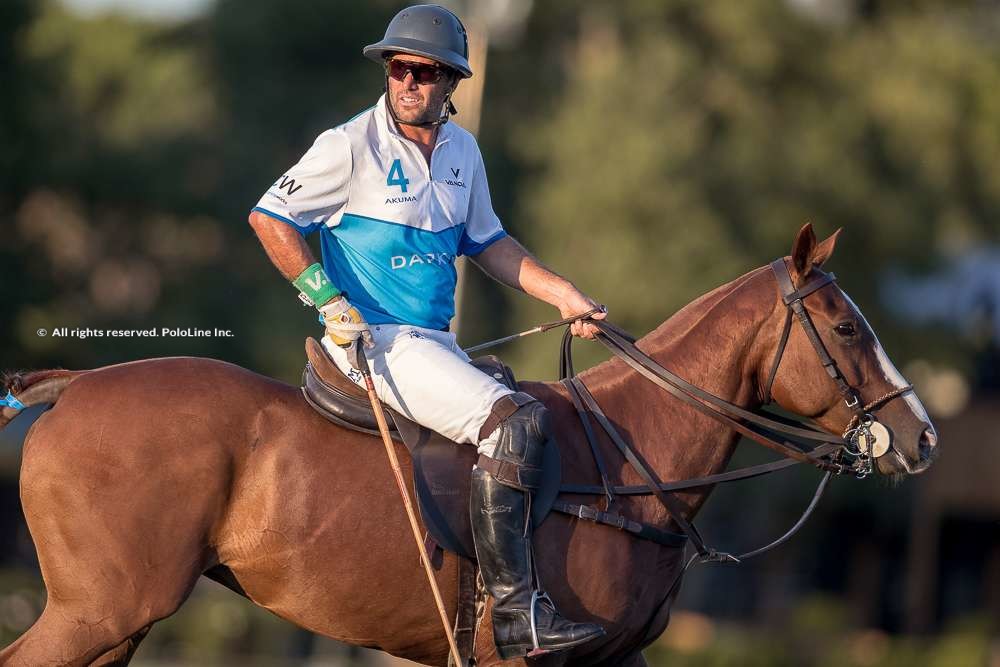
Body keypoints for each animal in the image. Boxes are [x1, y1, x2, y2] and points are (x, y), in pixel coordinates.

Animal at [1, 226, 936, 667]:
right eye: (847, 328)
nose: (921, 437)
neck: (634, 456)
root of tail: (70, 386)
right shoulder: (513, 658)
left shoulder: (615, 658)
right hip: (99, 608)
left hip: (115, 620)